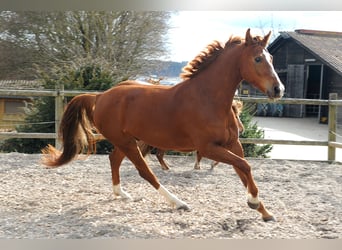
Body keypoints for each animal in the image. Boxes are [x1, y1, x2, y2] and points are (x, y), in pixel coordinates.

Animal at [42, 28, 284, 221]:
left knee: (114, 159)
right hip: (128, 142)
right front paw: (253, 202)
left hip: (129, 140)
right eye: (257, 59)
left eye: (272, 57)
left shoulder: (233, 145)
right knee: (145, 172)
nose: (278, 89)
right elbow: (246, 165)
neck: (209, 99)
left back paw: (122, 194)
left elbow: (244, 169)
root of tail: (99, 96)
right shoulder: (208, 148)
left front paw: (264, 211)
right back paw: (178, 203)